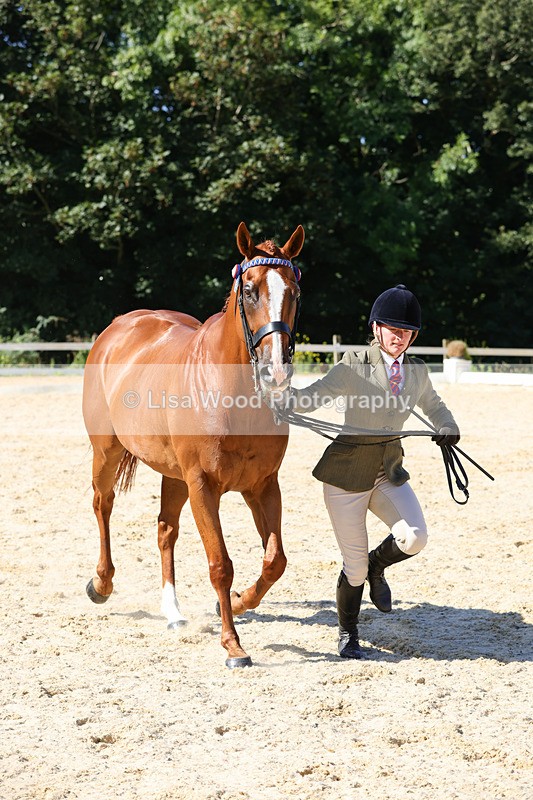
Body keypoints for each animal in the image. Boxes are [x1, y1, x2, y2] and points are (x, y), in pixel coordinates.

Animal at [82, 221, 305, 668]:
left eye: (294, 292)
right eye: (249, 290)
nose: (275, 372)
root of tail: (119, 326)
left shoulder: (262, 486)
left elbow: (274, 561)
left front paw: (235, 602)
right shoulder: (204, 487)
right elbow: (220, 564)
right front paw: (233, 646)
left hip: (174, 476)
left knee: (166, 530)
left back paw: (173, 612)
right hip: (107, 453)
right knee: (103, 504)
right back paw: (101, 584)